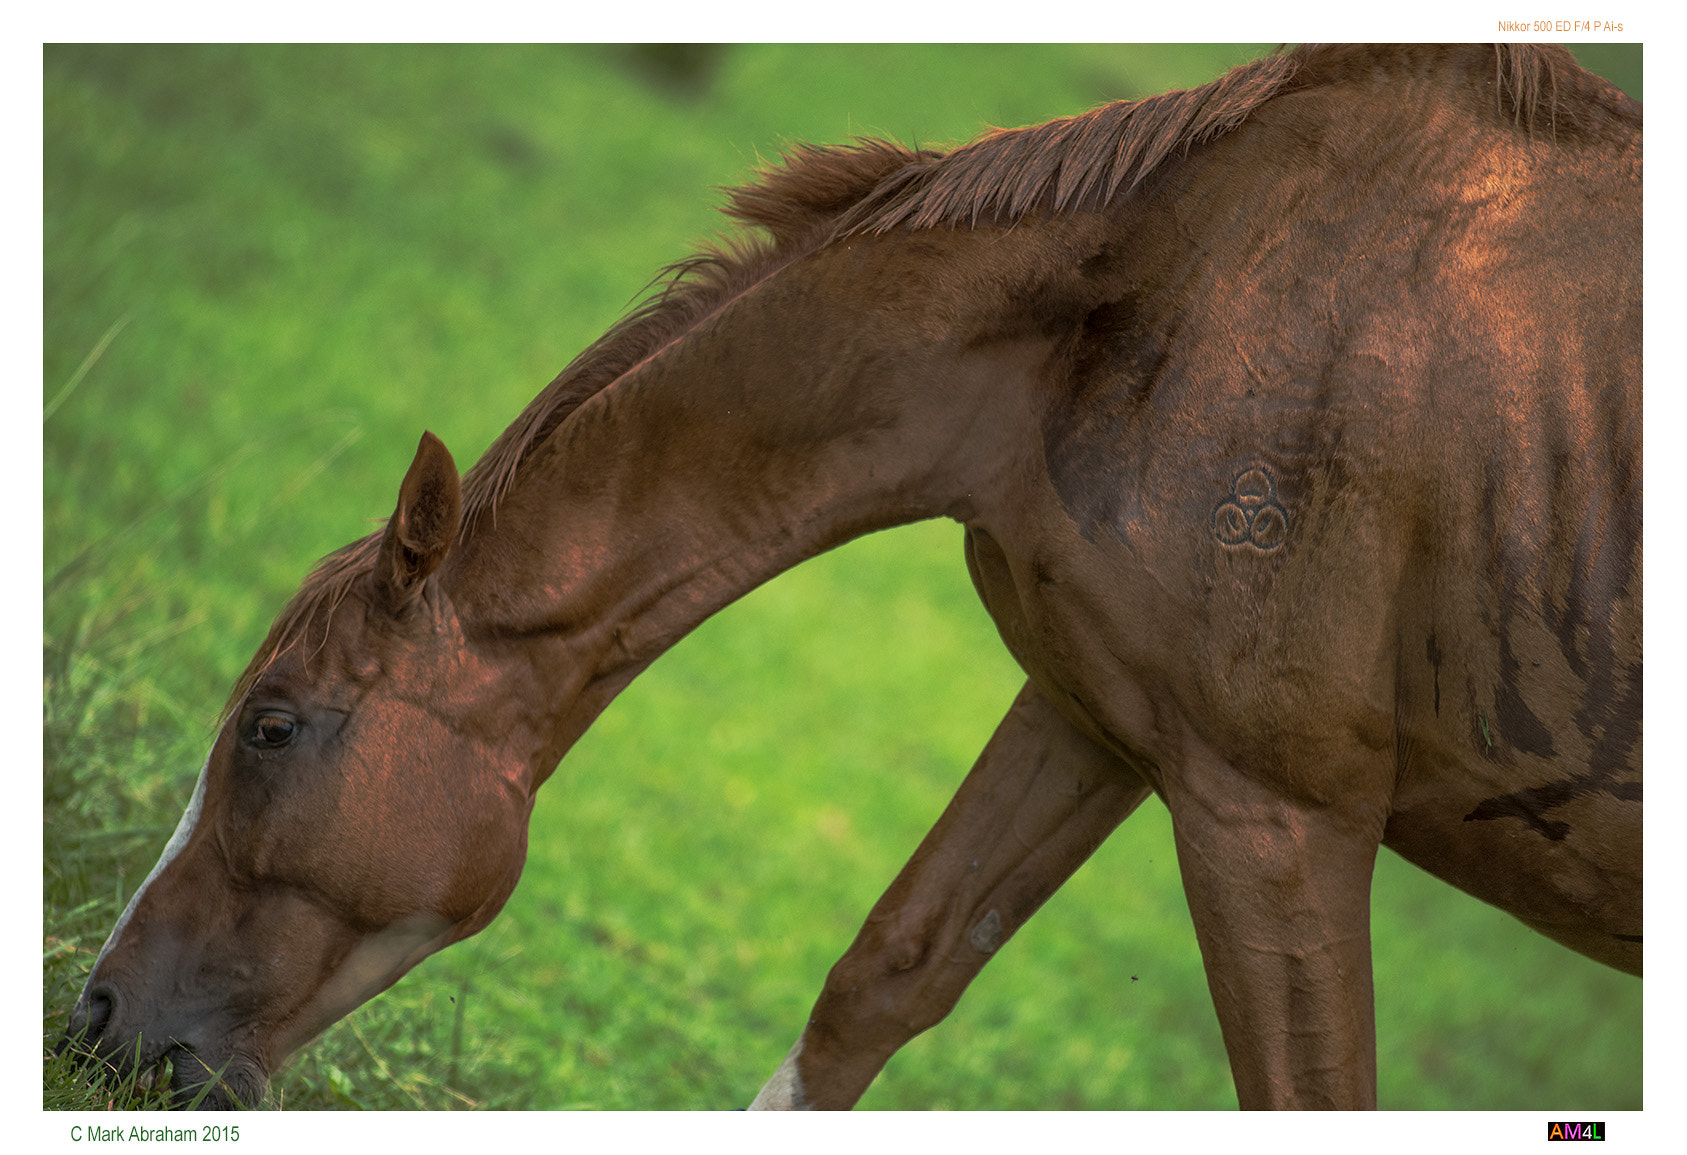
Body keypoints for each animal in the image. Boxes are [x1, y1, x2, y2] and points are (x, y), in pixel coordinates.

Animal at [59, 45, 1639, 1106]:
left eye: (272, 726)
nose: (94, 1021)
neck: (1174, 293)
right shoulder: (1099, 718)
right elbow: (877, 980)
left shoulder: (1274, 813)